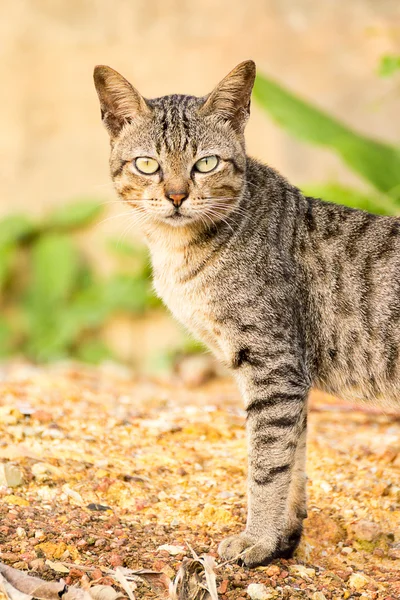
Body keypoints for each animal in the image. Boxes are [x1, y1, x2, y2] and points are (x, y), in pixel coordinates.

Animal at [93, 61, 400, 568]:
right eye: (147, 164)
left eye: (206, 163)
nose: (176, 196)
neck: (178, 254)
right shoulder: (286, 374)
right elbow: (294, 457)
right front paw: (282, 538)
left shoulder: (274, 366)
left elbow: (266, 463)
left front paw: (256, 538)